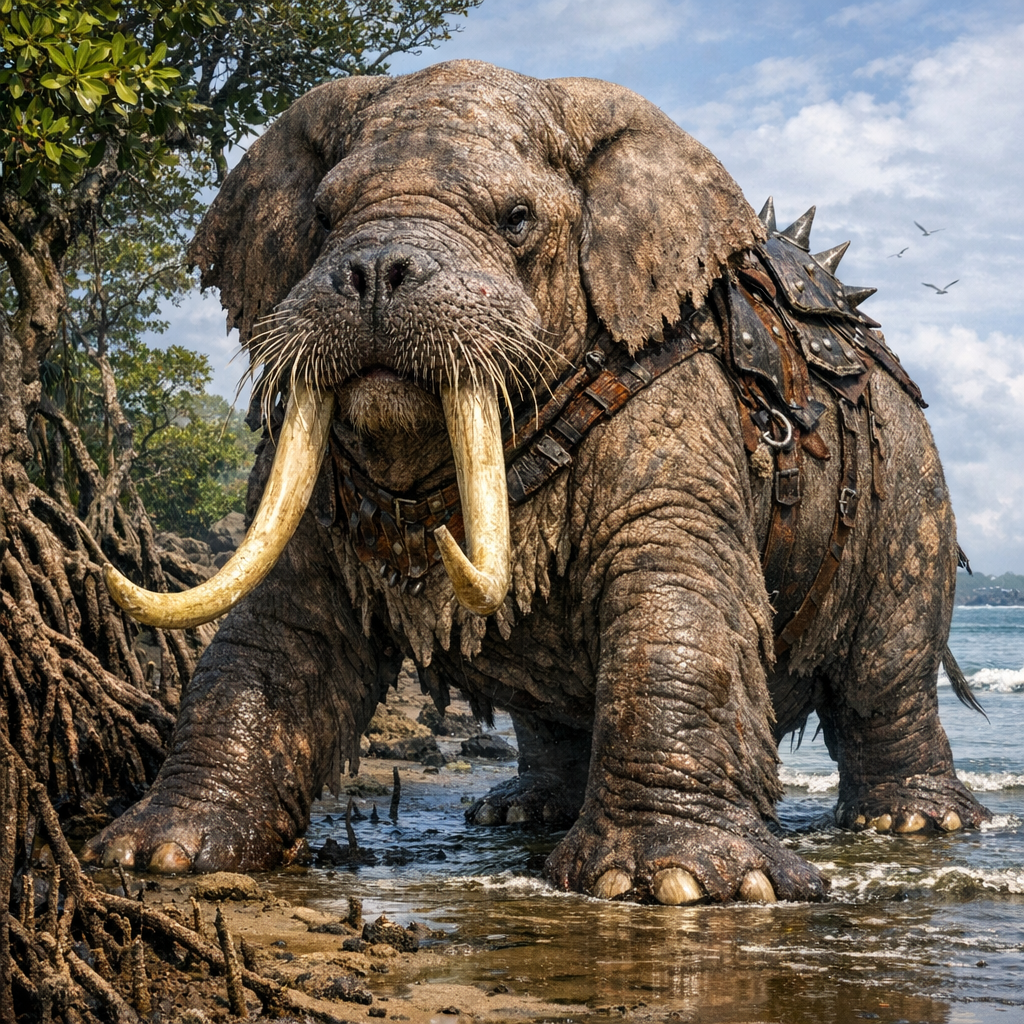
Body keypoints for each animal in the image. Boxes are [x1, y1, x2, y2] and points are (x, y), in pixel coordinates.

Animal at [85, 60, 989, 904]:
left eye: (517, 219)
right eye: (323, 218)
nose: (373, 271)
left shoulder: (663, 382)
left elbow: (675, 586)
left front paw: (681, 882)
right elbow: (277, 628)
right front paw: (153, 853)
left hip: (911, 485)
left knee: (886, 671)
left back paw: (912, 823)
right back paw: (521, 811)